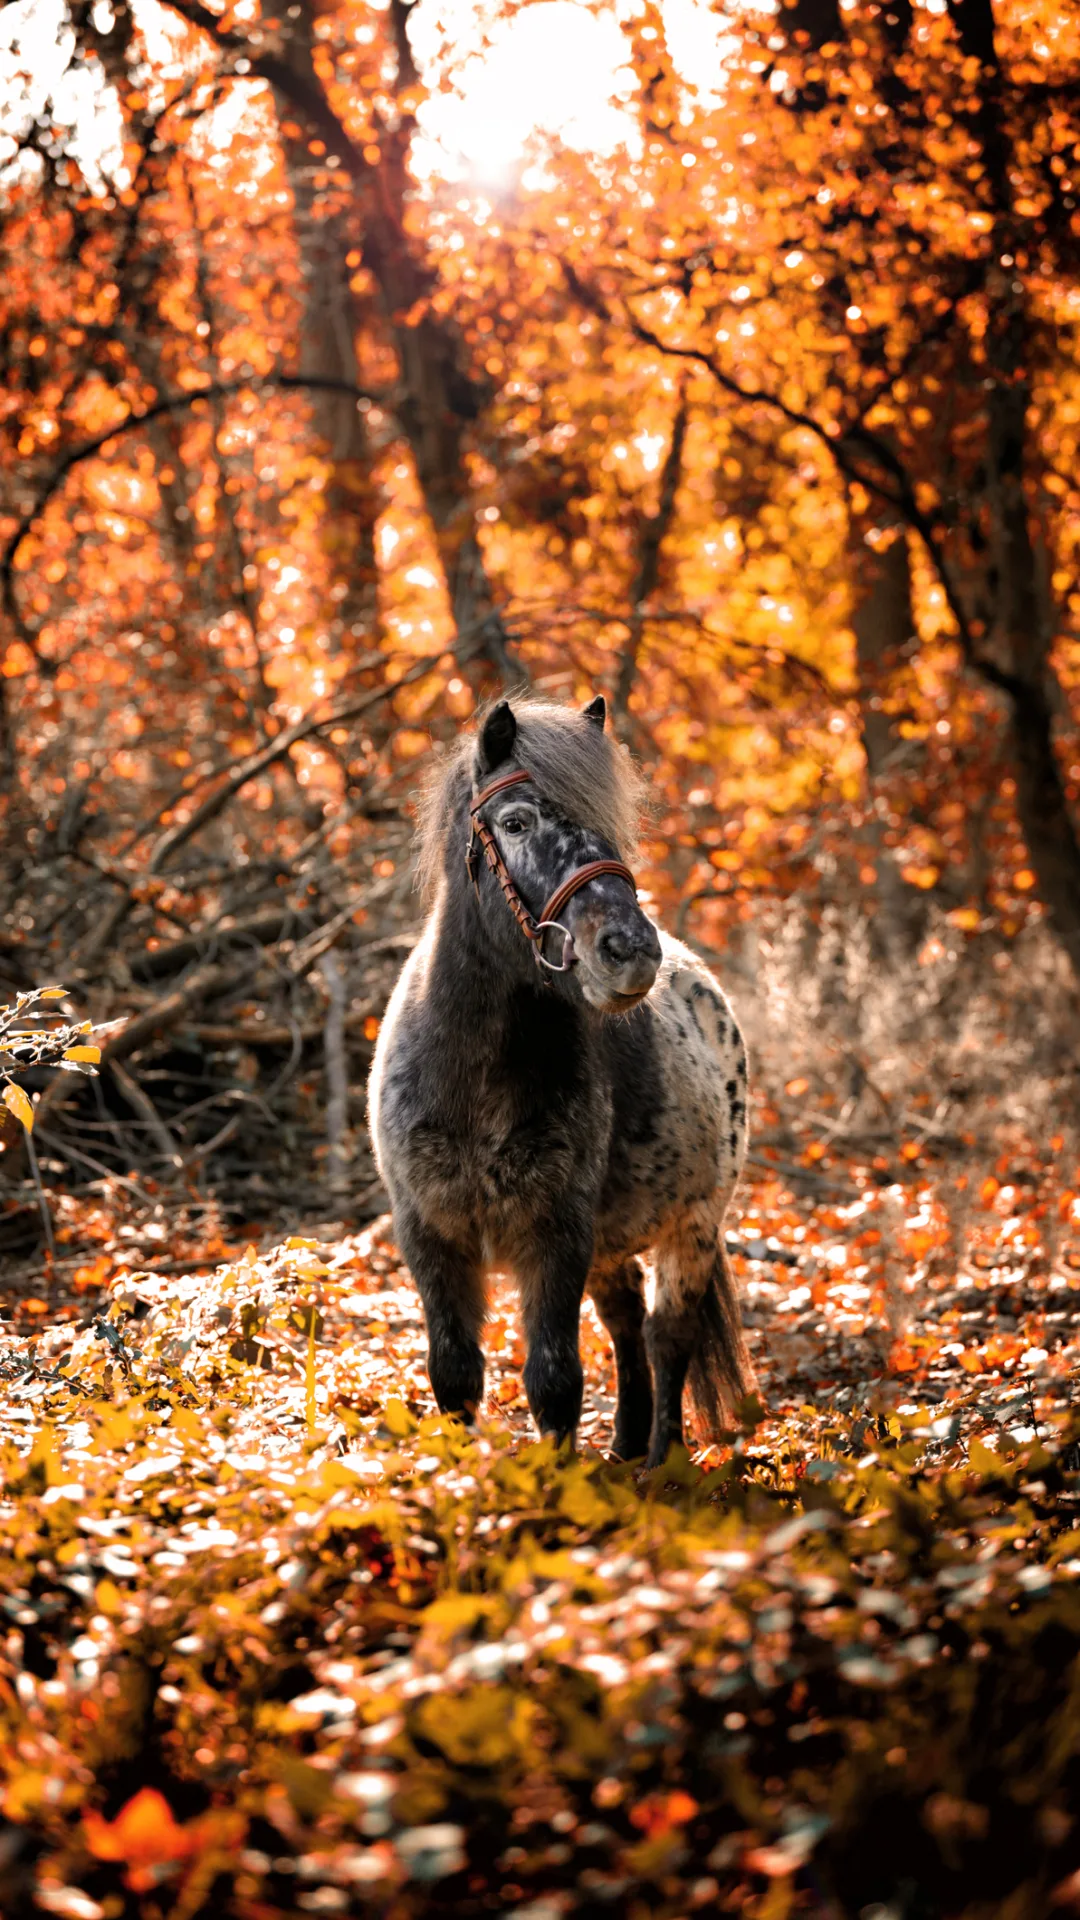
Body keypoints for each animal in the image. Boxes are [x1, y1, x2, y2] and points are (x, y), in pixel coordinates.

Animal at [365, 698, 753, 1459]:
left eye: (609, 823)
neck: (474, 1081)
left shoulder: (556, 1235)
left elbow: (553, 1378)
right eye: (515, 823)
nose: (630, 950)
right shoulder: (431, 1234)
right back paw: (626, 1447)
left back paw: (665, 1460)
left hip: (692, 1226)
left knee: (668, 1336)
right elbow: (454, 1374)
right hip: (613, 1242)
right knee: (627, 1321)